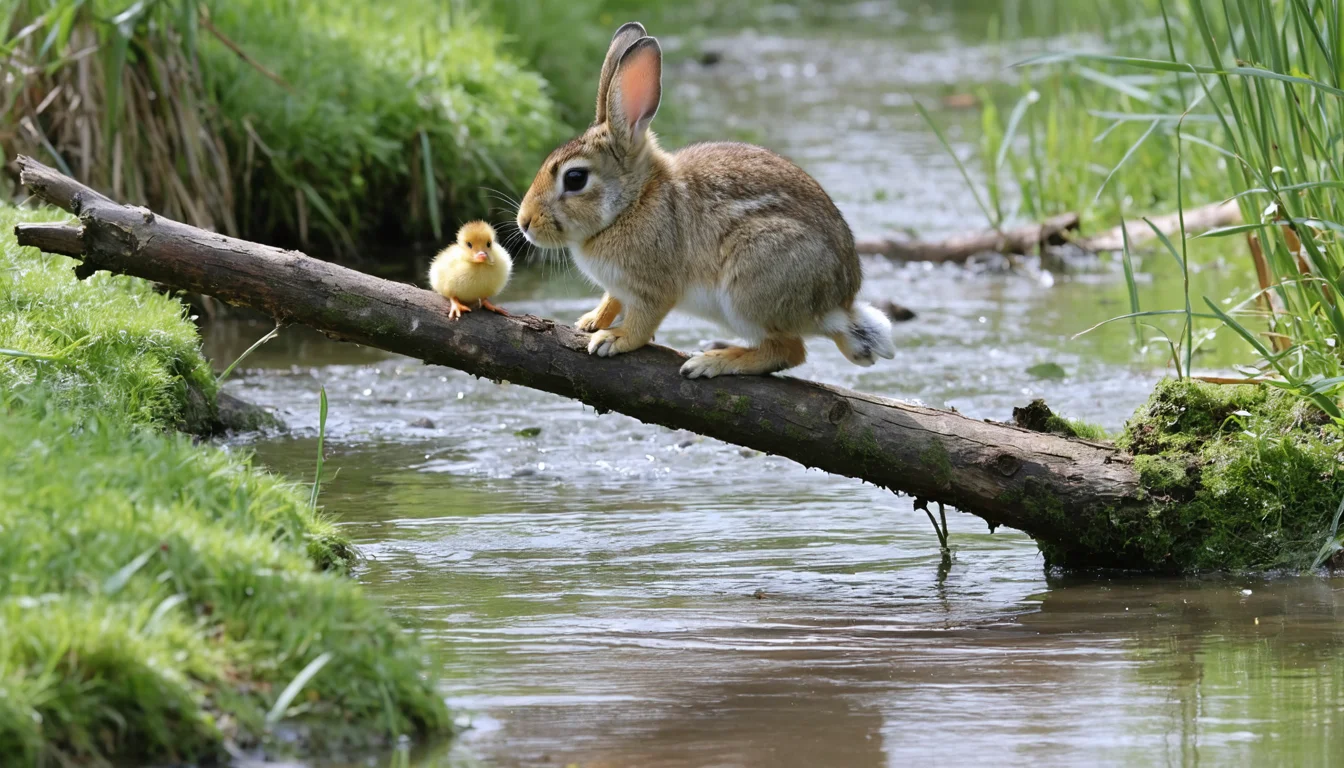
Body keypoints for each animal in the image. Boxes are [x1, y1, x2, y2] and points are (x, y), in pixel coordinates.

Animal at [515, 21, 895, 378]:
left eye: (575, 178)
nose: (524, 222)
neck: (633, 203)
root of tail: (837, 304)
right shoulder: (621, 287)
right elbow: (613, 299)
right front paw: (591, 321)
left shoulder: (654, 288)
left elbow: (644, 322)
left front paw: (614, 339)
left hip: (751, 285)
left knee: (789, 351)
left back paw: (713, 361)